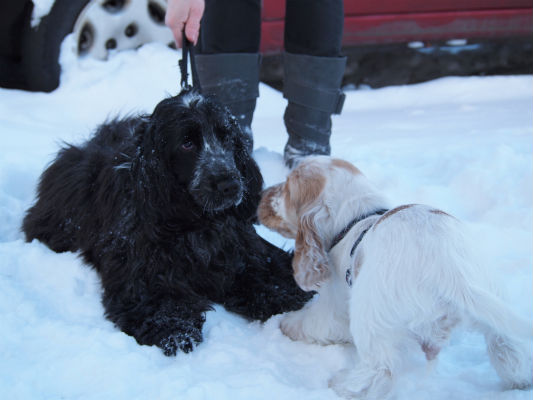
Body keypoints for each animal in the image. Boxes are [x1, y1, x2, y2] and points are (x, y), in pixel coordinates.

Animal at [22, 91, 310, 356]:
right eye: (186, 144)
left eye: (226, 137)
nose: (230, 184)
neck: (195, 220)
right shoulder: (144, 273)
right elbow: (160, 301)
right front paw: (175, 331)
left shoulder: (243, 253)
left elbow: (268, 276)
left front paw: (296, 298)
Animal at [256, 157, 528, 400]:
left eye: (287, 187)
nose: (261, 194)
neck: (355, 217)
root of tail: (451, 274)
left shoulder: (334, 307)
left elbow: (311, 321)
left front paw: (286, 323)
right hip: (497, 308)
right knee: (508, 350)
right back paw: (519, 383)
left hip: (370, 317)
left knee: (380, 370)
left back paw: (341, 384)